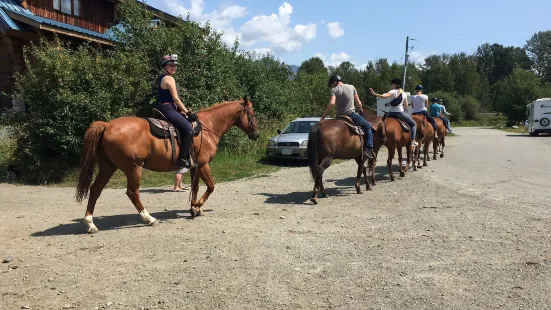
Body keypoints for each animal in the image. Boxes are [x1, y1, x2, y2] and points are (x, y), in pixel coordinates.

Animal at [74, 97, 260, 232]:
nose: (257, 135)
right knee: (132, 193)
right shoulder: (203, 164)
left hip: (108, 167)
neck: (207, 128)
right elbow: (211, 186)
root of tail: (106, 125)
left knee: (95, 190)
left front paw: (194, 207)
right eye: (252, 114)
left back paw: (90, 224)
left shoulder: (194, 166)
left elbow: (196, 188)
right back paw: (149, 218)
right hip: (133, 168)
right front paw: (197, 207)